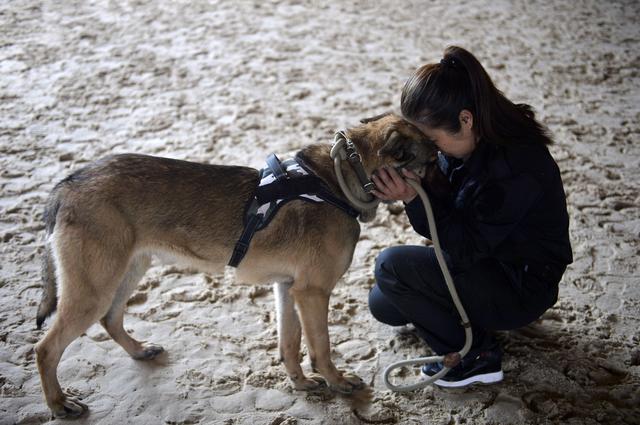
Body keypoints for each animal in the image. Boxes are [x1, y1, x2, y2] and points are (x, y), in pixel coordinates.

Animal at [33, 112, 436, 418]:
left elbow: (289, 342)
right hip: (93, 289)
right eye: (431, 161)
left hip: (126, 273)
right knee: (46, 348)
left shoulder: (289, 289)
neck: (339, 176)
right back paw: (59, 404)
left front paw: (300, 383)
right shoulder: (313, 293)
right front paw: (337, 383)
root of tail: (68, 183)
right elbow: (320, 347)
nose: (444, 169)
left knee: (111, 319)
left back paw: (138, 351)